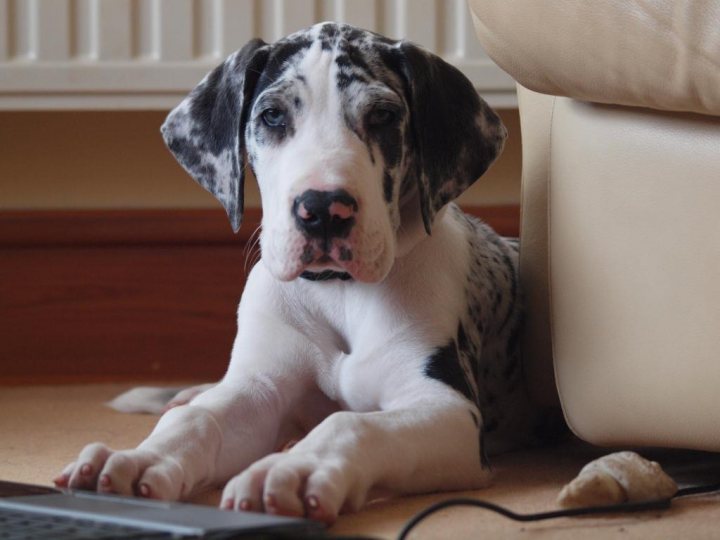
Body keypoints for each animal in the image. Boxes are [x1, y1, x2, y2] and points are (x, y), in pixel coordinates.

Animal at [56, 23, 540, 524]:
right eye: (272, 115)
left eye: (383, 116)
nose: (324, 210)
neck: (339, 293)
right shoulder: (261, 391)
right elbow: (197, 419)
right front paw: (138, 459)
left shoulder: (446, 408)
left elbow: (349, 423)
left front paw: (292, 469)